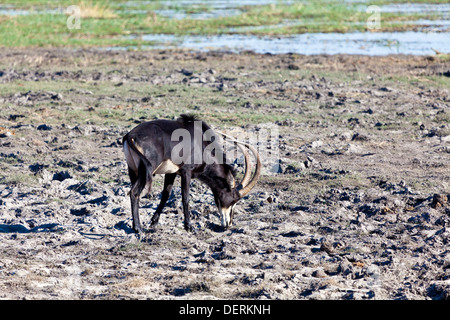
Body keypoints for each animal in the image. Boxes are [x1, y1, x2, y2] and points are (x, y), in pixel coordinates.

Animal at [122, 114, 260, 232]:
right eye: (234, 200)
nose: (228, 224)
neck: (202, 144)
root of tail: (131, 136)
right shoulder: (186, 172)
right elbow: (186, 197)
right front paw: (189, 226)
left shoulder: (171, 172)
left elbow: (165, 195)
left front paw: (154, 222)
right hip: (145, 172)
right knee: (134, 192)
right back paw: (138, 228)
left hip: (133, 170)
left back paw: (135, 226)